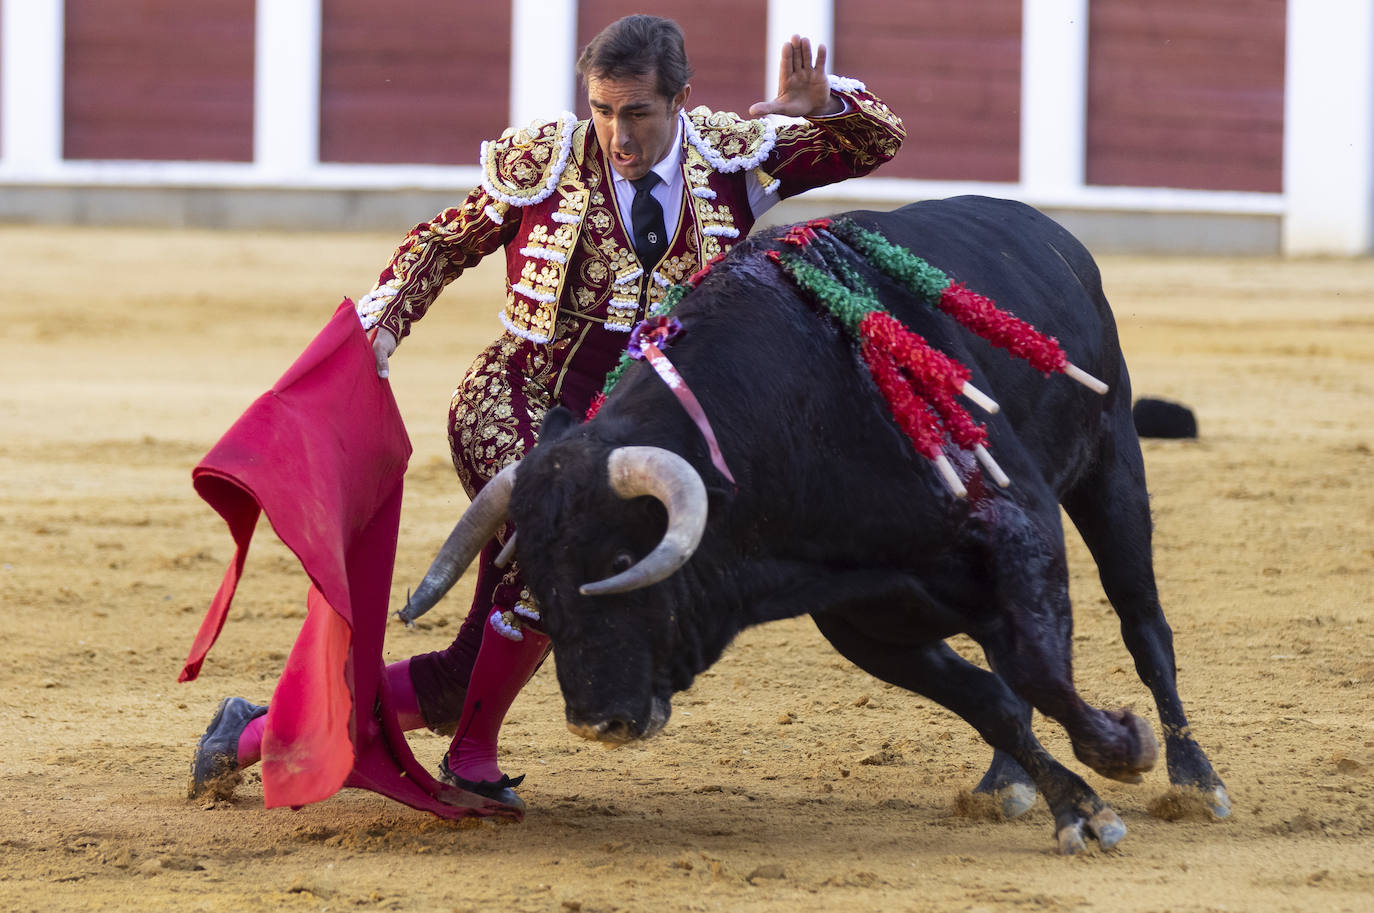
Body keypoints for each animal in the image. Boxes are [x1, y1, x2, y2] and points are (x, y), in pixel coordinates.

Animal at [401, 196, 1231, 852]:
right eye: (538, 581)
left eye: (621, 560)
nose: (596, 722)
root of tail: (1052, 234)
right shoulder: (862, 615)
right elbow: (992, 700)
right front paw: (1074, 807)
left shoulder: (1021, 528)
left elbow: (1039, 669)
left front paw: (1120, 750)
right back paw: (1004, 785)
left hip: (1111, 464)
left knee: (1142, 622)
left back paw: (1196, 779)